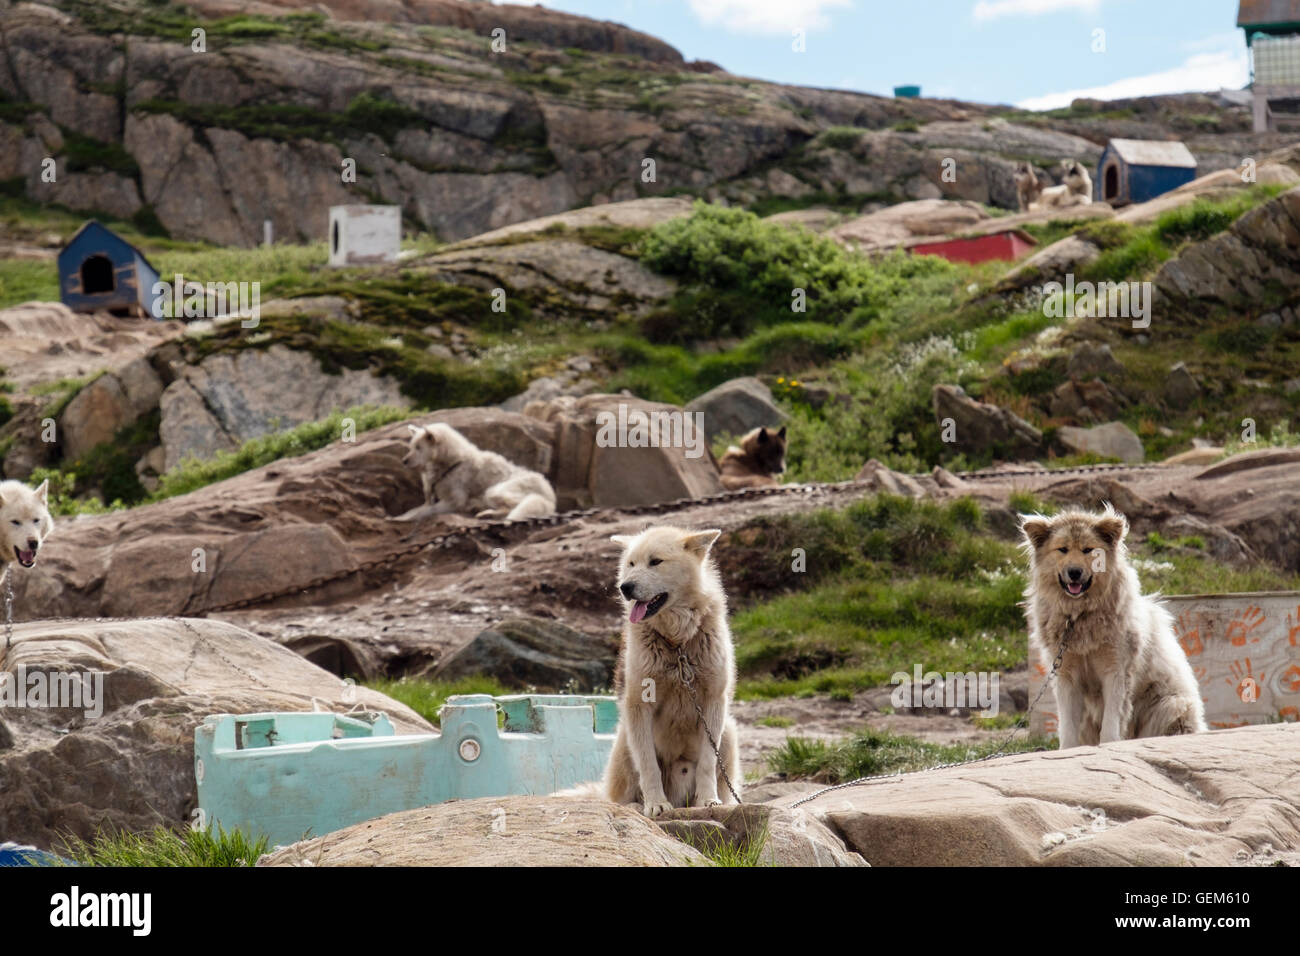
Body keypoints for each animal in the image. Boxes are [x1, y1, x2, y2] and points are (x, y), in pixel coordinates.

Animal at [400, 421, 553, 520]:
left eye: (418, 447)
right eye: (411, 447)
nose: (404, 461)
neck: (452, 463)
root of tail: (550, 497)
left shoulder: (454, 501)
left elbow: (423, 511)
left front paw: (403, 519)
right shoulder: (431, 498)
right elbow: (417, 509)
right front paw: (403, 516)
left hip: (495, 490)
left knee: (512, 509)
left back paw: (486, 513)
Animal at [1013, 504, 1206, 749]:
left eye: (1088, 550)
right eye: (1062, 549)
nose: (1074, 572)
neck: (1079, 616)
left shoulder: (1116, 671)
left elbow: (1111, 724)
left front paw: (1109, 746)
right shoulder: (1067, 676)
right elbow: (1068, 728)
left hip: (1171, 705)